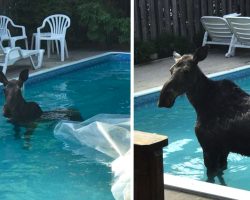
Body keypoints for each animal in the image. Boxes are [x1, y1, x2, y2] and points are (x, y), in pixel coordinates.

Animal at [159, 46, 250, 184]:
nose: (164, 99)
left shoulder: (208, 147)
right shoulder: (223, 149)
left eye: (186, 70)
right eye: (170, 70)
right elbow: (220, 174)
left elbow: (211, 178)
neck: (201, 103)